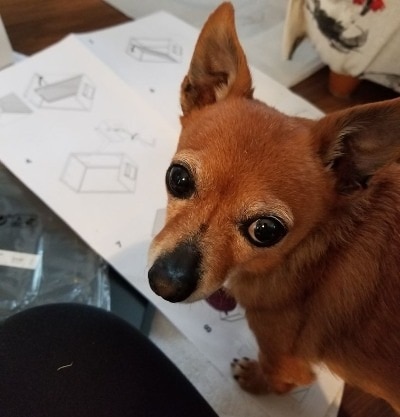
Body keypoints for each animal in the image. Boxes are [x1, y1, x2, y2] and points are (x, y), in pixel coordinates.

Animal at [148, 1, 400, 412]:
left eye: (265, 231)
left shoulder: (287, 363)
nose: (165, 283)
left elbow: (276, 381)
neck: (319, 254)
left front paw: (252, 380)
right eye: (178, 179)